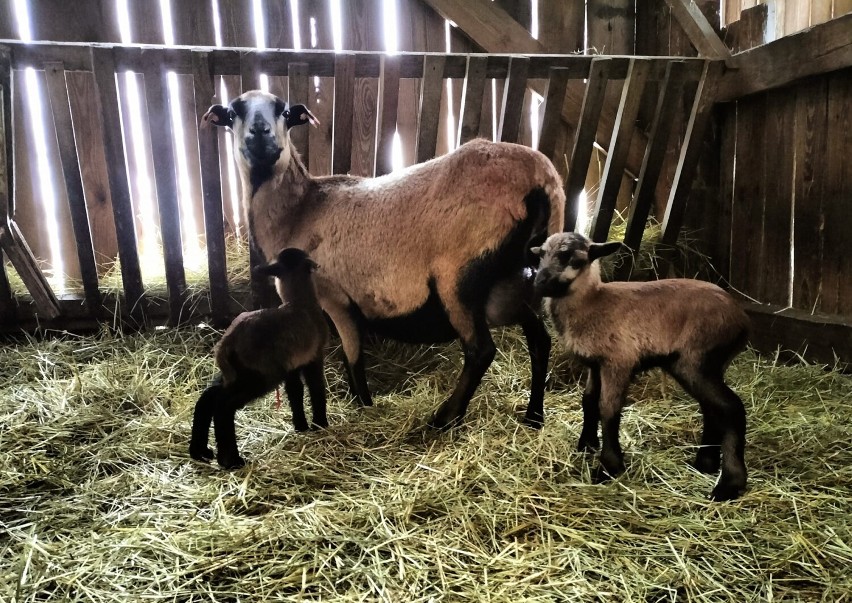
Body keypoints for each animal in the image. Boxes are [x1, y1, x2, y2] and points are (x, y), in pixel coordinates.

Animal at [191, 248, 330, 470]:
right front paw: (320, 424)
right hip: (262, 375)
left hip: (237, 373)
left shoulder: (292, 365)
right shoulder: (314, 357)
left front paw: (301, 426)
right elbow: (316, 389)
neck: (300, 301)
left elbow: (295, 393)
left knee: (208, 396)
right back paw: (231, 461)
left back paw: (200, 451)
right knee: (223, 405)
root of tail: (228, 341)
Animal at [201, 89, 564, 430]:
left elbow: (352, 358)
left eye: (283, 111)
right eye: (234, 111)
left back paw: (445, 417)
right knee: (539, 340)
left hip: (460, 277)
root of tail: (542, 178)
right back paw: (534, 415)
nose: (260, 133)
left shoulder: (335, 299)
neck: (300, 210)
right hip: (513, 281)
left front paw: (363, 404)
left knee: (481, 350)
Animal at [536, 231, 748, 500]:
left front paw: (609, 467)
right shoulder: (595, 365)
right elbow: (589, 401)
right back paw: (705, 464)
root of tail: (742, 320)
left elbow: (608, 409)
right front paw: (586, 445)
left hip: (697, 360)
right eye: (541, 254)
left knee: (731, 408)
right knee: (712, 408)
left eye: (571, 257)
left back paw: (729, 484)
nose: (539, 283)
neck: (592, 303)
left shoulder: (618, 362)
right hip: (702, 365)